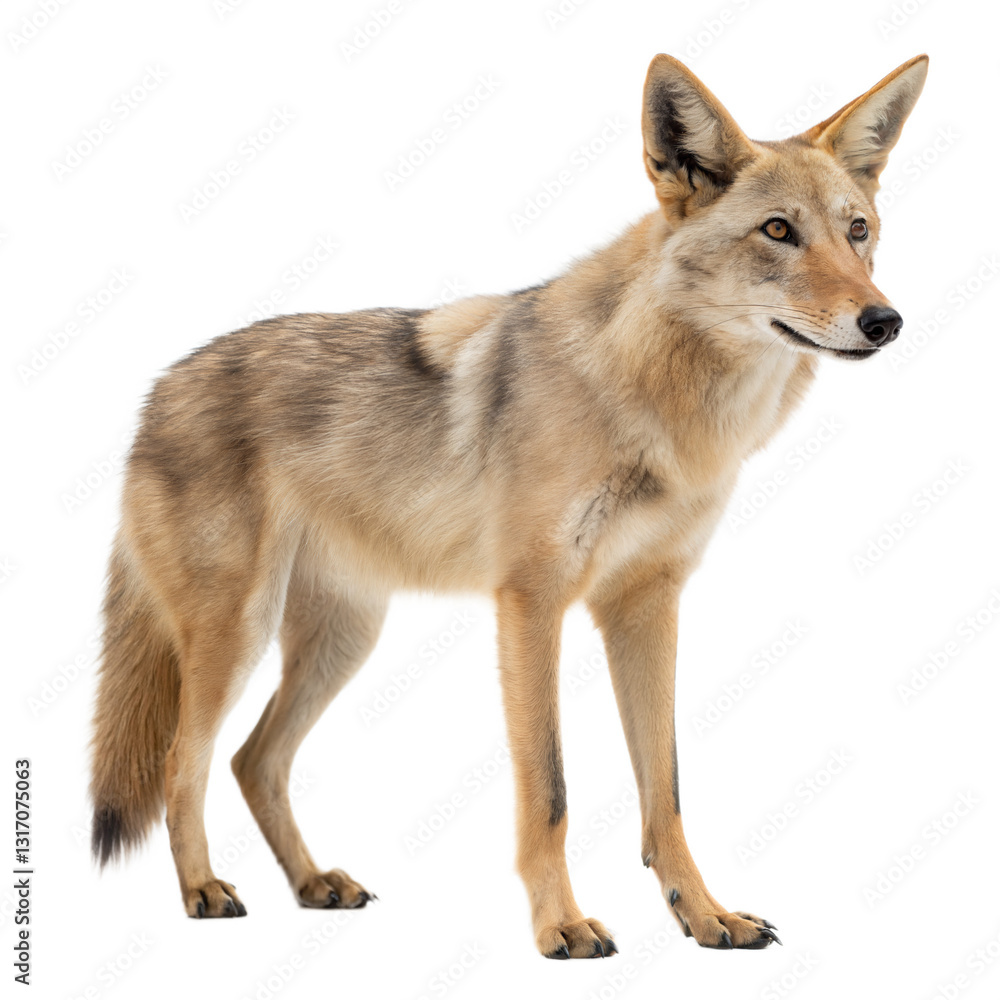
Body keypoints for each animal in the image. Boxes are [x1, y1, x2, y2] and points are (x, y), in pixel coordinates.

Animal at [89, 52, 928, 957]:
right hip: (237, 637)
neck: (655, 401)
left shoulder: (647, 605)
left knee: (254, 760)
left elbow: (665, 791)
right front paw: (560, 926)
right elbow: (551, 791)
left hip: (343, 642)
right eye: (778, 231)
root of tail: (154, 393)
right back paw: (203, 890)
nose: (884, 320)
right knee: (183, 763)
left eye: (857, 231)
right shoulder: (532, 603)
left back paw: (315, 884)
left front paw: (704, 915)